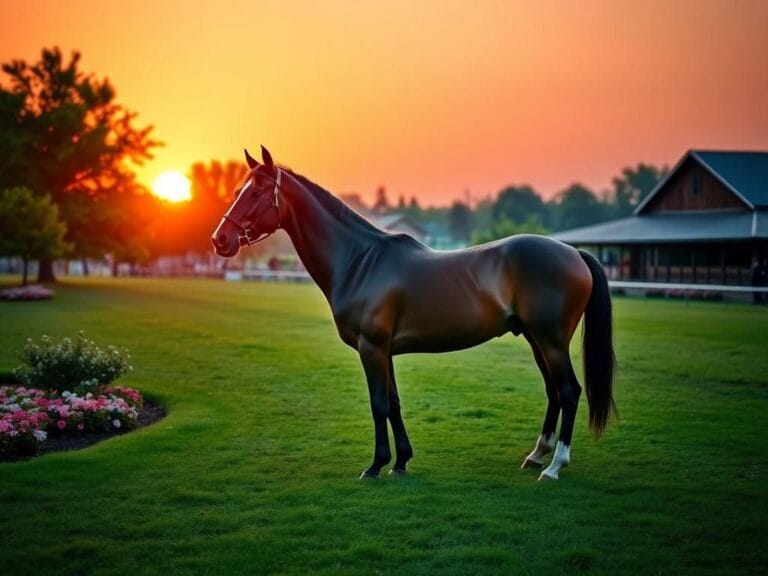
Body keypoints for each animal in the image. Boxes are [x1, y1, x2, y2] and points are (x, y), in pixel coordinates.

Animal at [212, 146, 616, 481]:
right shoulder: (384, 350)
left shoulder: (372, 348)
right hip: (536, 339)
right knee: (553, 391)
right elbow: (393, 404)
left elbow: (378, 405)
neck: (360, 262)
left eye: (257, 193)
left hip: (551, 341)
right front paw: (401, 461)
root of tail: (573, 252)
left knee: (569, 391)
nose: (220, 240)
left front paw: (375, 466)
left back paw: (554, 466)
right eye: (238, 191)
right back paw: (536, 455)